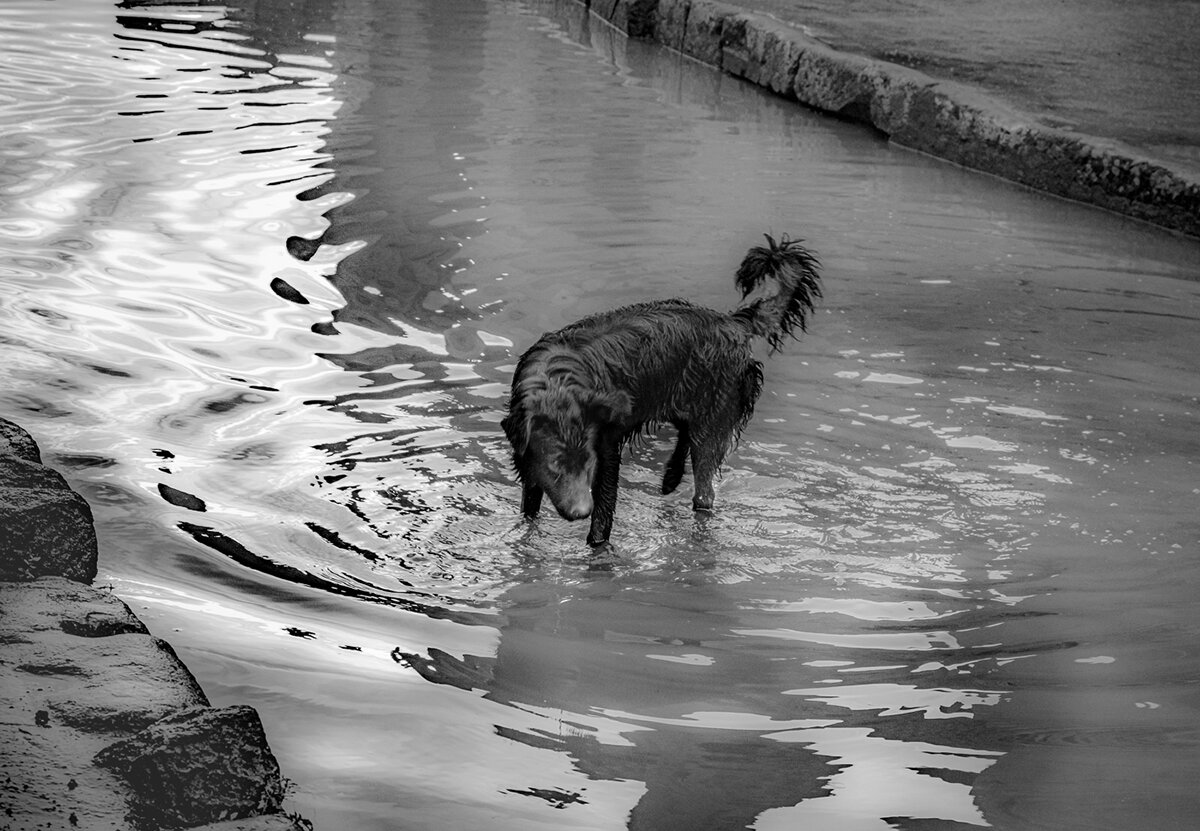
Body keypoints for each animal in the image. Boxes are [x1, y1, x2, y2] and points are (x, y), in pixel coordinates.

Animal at [501, 234, 820, 545]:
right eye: (555, 466)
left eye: (587, 463)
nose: (581, 512)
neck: (557, 381)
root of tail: (733, 322)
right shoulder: (530, 459)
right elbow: (530, 508)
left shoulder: (606, 449)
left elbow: (602, 516)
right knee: (685, 434)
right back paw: (670, 478)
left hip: (714, 418)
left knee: (704, 488)